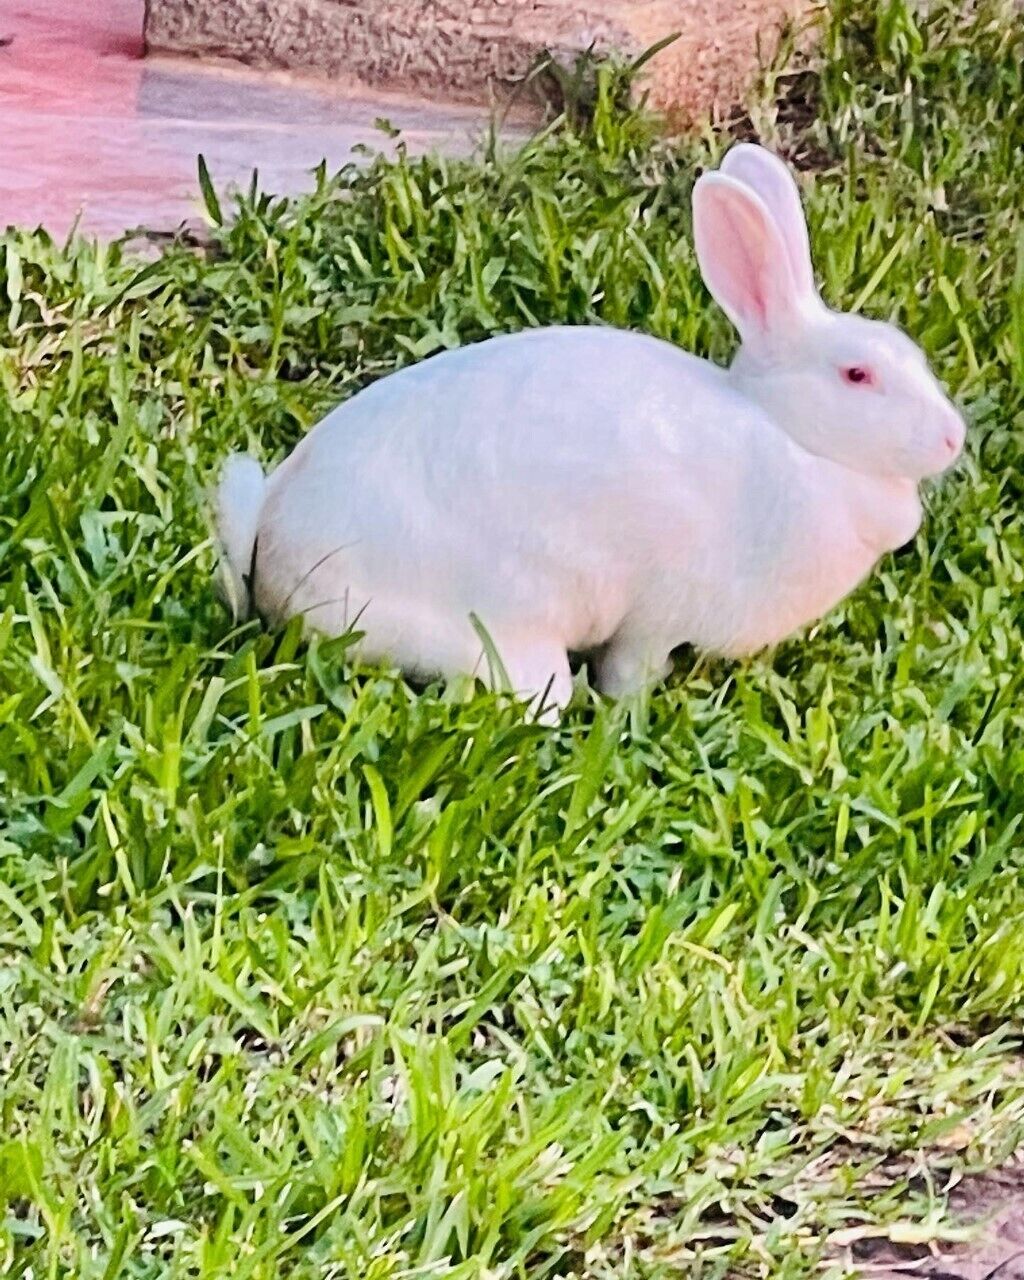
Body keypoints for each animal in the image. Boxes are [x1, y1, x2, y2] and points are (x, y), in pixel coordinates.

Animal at [214, 143, 965, 721]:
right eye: (858, 375)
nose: (952, 438)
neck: (790, 435)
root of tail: (269, 545)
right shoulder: (657, 617)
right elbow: (629, 672)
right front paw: (630, 716)